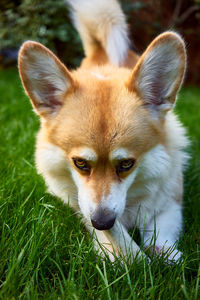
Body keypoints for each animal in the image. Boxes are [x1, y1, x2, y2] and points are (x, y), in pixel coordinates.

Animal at [18, 0, 188, 262]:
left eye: (127, 164)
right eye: (80, 163)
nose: (102, 222)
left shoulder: (171, 201)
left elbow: (162, 226)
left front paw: (165, 252)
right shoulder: (83, 205)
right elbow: (117, 238)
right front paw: (125, 254)